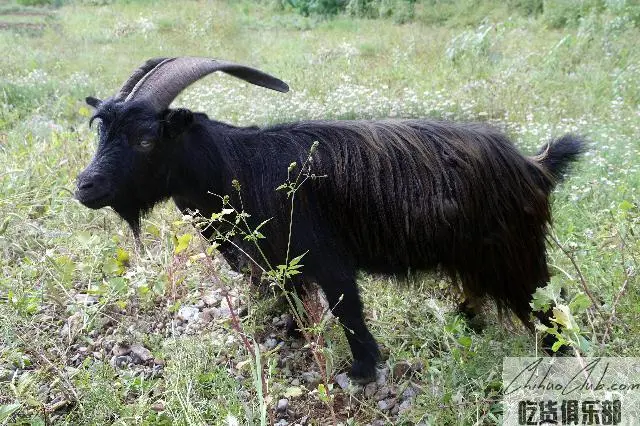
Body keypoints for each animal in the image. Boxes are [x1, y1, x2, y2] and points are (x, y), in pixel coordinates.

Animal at [76, 57, 584, 382]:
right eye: (101, 131)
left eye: (146, 140)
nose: (85, 187)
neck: (239, 166)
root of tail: (535, 165)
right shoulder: (278, 266)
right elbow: (295, 307)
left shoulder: (325, 255)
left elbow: (348, 309)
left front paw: (362, 371)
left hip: (517, 257)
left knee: (550, 311)